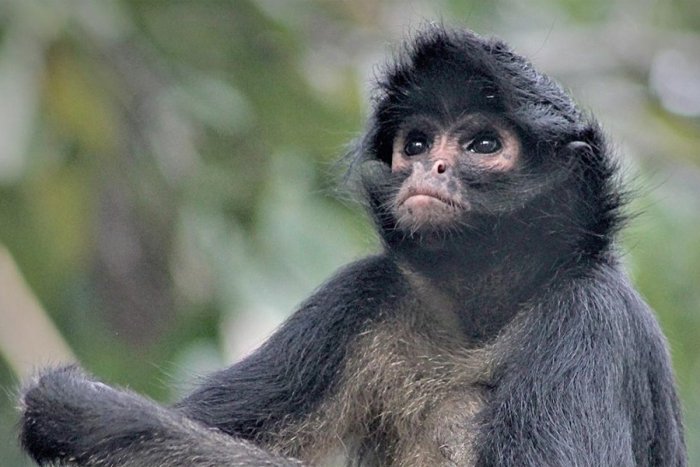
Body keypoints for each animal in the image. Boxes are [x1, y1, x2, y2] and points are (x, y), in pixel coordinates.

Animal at [19, 24, 688, 467]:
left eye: (481, 145)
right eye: (415, 144)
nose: (430, 168)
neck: (477, 319)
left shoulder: (588, 315)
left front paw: (97, 417)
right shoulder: (360, 293)